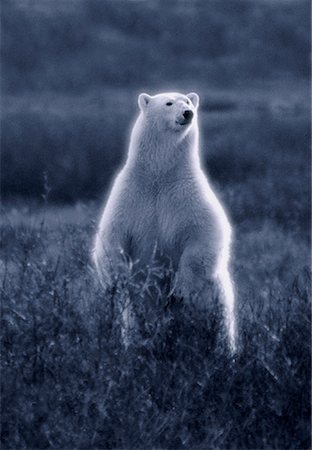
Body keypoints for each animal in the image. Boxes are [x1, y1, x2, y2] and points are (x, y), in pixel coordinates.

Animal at [94, 92, 235, 352]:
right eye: (169, 103)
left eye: (187, 101)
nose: (188, 113)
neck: (160, 175)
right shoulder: (130, 195)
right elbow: (111, 237)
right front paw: (117, 282)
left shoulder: (188, 195)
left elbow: (206, 234)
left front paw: (179, 290)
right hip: (135, 319)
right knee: (138, 329)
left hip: (215, 300)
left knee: (220, 329)